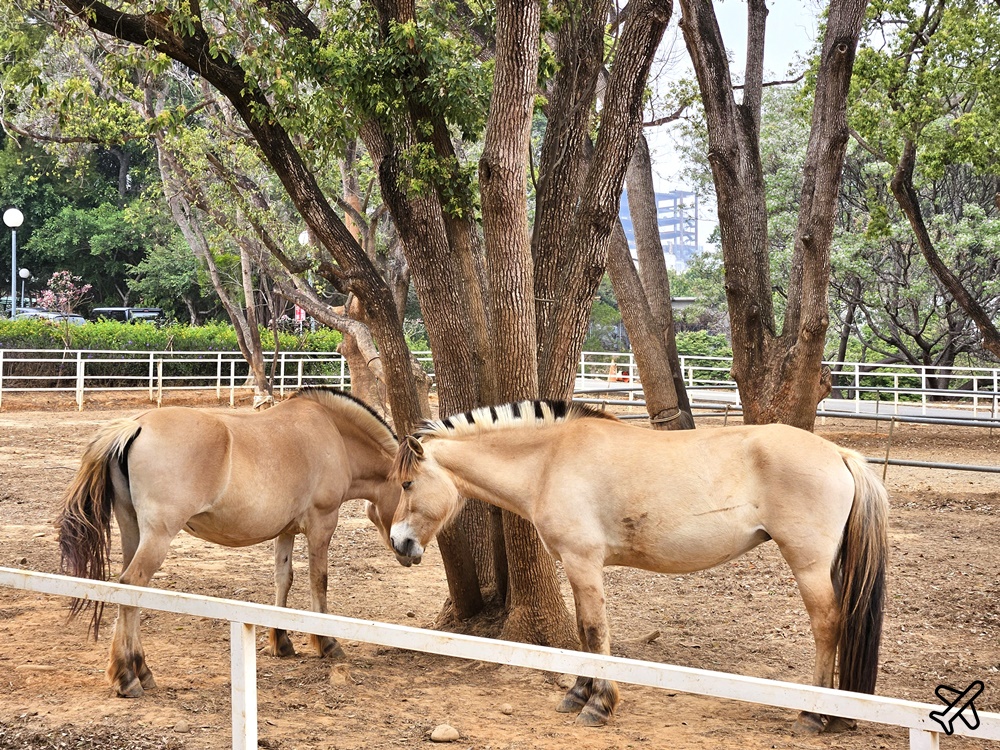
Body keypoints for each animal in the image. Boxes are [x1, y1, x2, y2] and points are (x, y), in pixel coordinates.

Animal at [57, 387, 408, 698]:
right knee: (133, 583)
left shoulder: (286, 531)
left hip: (133, 531)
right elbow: (317, 581)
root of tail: (136, 425)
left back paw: (139, 670)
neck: (332, 433)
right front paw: (327, 643)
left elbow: (284, 578)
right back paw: (128, 678)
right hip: (157, 537)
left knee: (126, 588)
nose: (409, 549)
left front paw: (280, 641)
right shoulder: (322, 525)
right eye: (408, 485)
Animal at [388, 400, 888, 733]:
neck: (549, 461)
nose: (399, 542)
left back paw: (814, 714)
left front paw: (598, 704)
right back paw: (838, 714)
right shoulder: (577, 568)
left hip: (808, 564)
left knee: (827, 623)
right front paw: (578, 694)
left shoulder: (583, 562)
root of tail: (839, 454)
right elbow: (584, 631)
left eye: (408, 483)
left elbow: (594, 631)